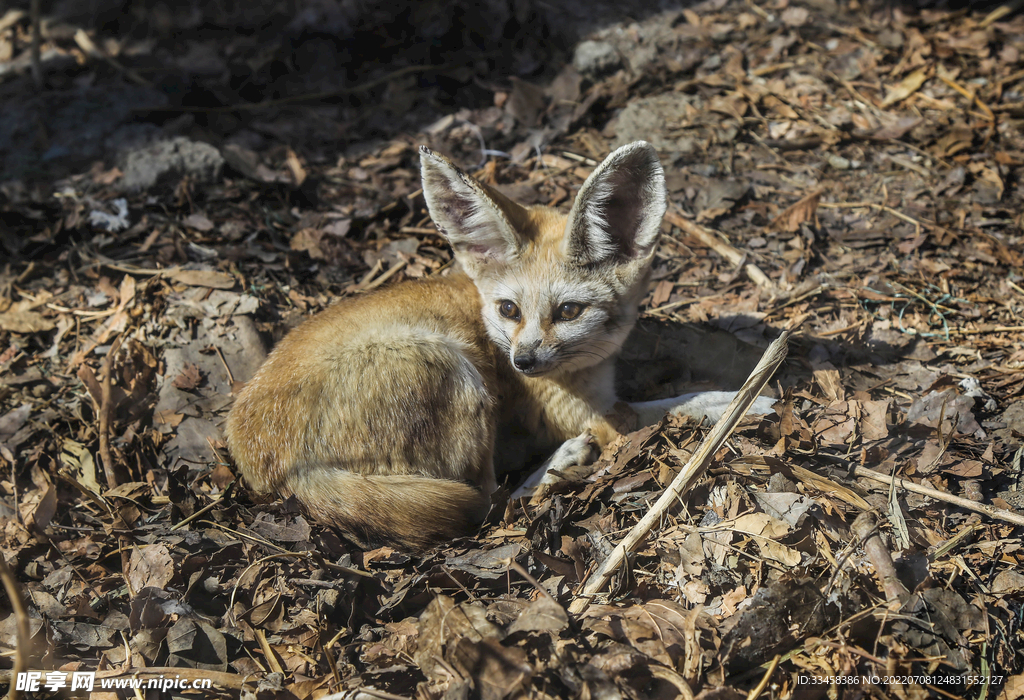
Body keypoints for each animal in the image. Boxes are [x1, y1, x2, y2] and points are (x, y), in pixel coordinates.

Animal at [224, 141, 770, 548]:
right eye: (510, 309)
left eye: (568, 312)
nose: (522, 362)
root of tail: (282, 472)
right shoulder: (598, 415)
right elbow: (678, 403)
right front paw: (744, 401)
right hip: (456, 373)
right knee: (490, 505)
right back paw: (560, 463)